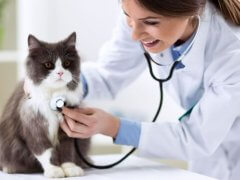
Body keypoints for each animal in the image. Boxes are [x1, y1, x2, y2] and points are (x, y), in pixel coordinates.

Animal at [0, 32, 91, 177]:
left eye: (66, 63)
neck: (54, 97)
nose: (60, 72)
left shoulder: (67, 130)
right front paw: (54, 170)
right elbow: (45, 151)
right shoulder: (35, 128)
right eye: (48, 64)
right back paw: (9, 168)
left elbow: (67, 149)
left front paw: (70, 168)